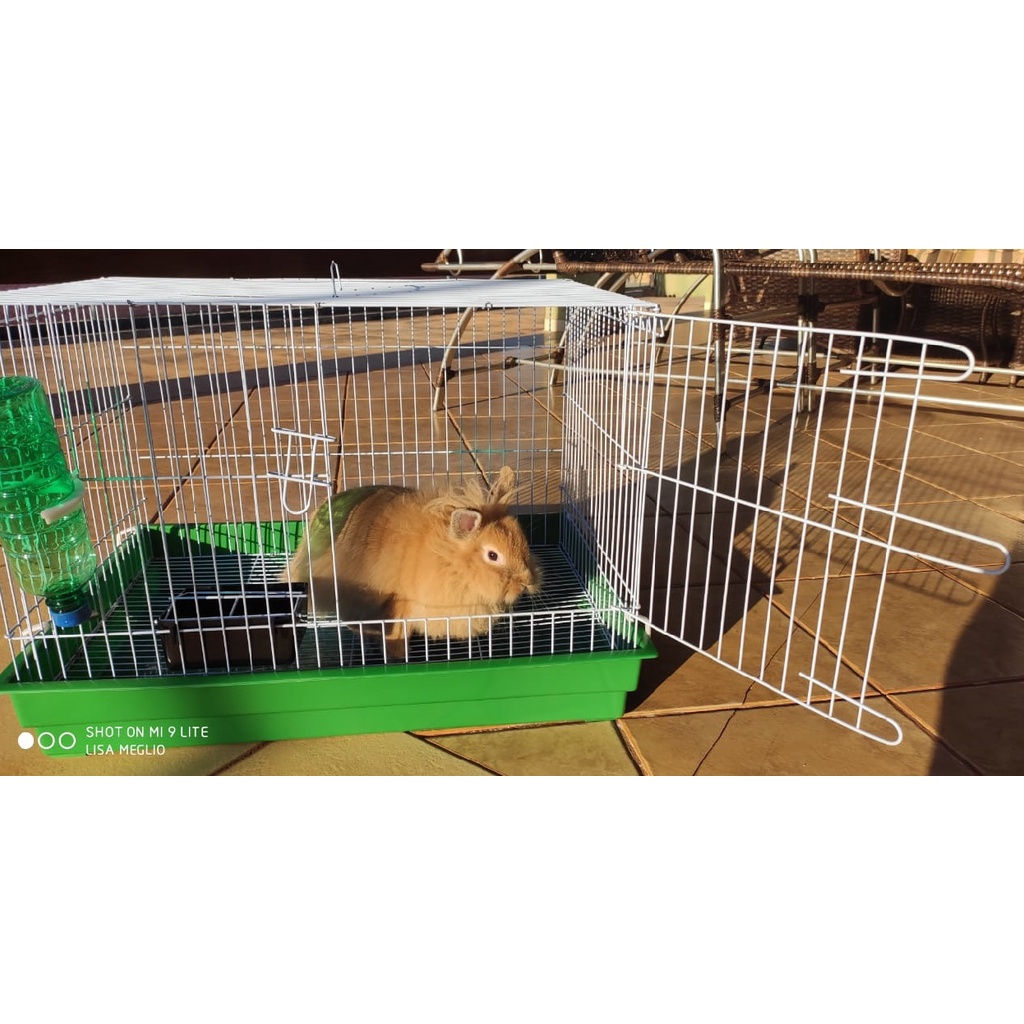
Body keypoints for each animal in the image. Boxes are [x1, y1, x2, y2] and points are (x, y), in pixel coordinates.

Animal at [281, 466, 541, 659]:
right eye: (493, 556)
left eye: (523, 541)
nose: (526, 582)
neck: (450, 562)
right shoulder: (401, 604)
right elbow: (396, 634)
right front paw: (400, 656)